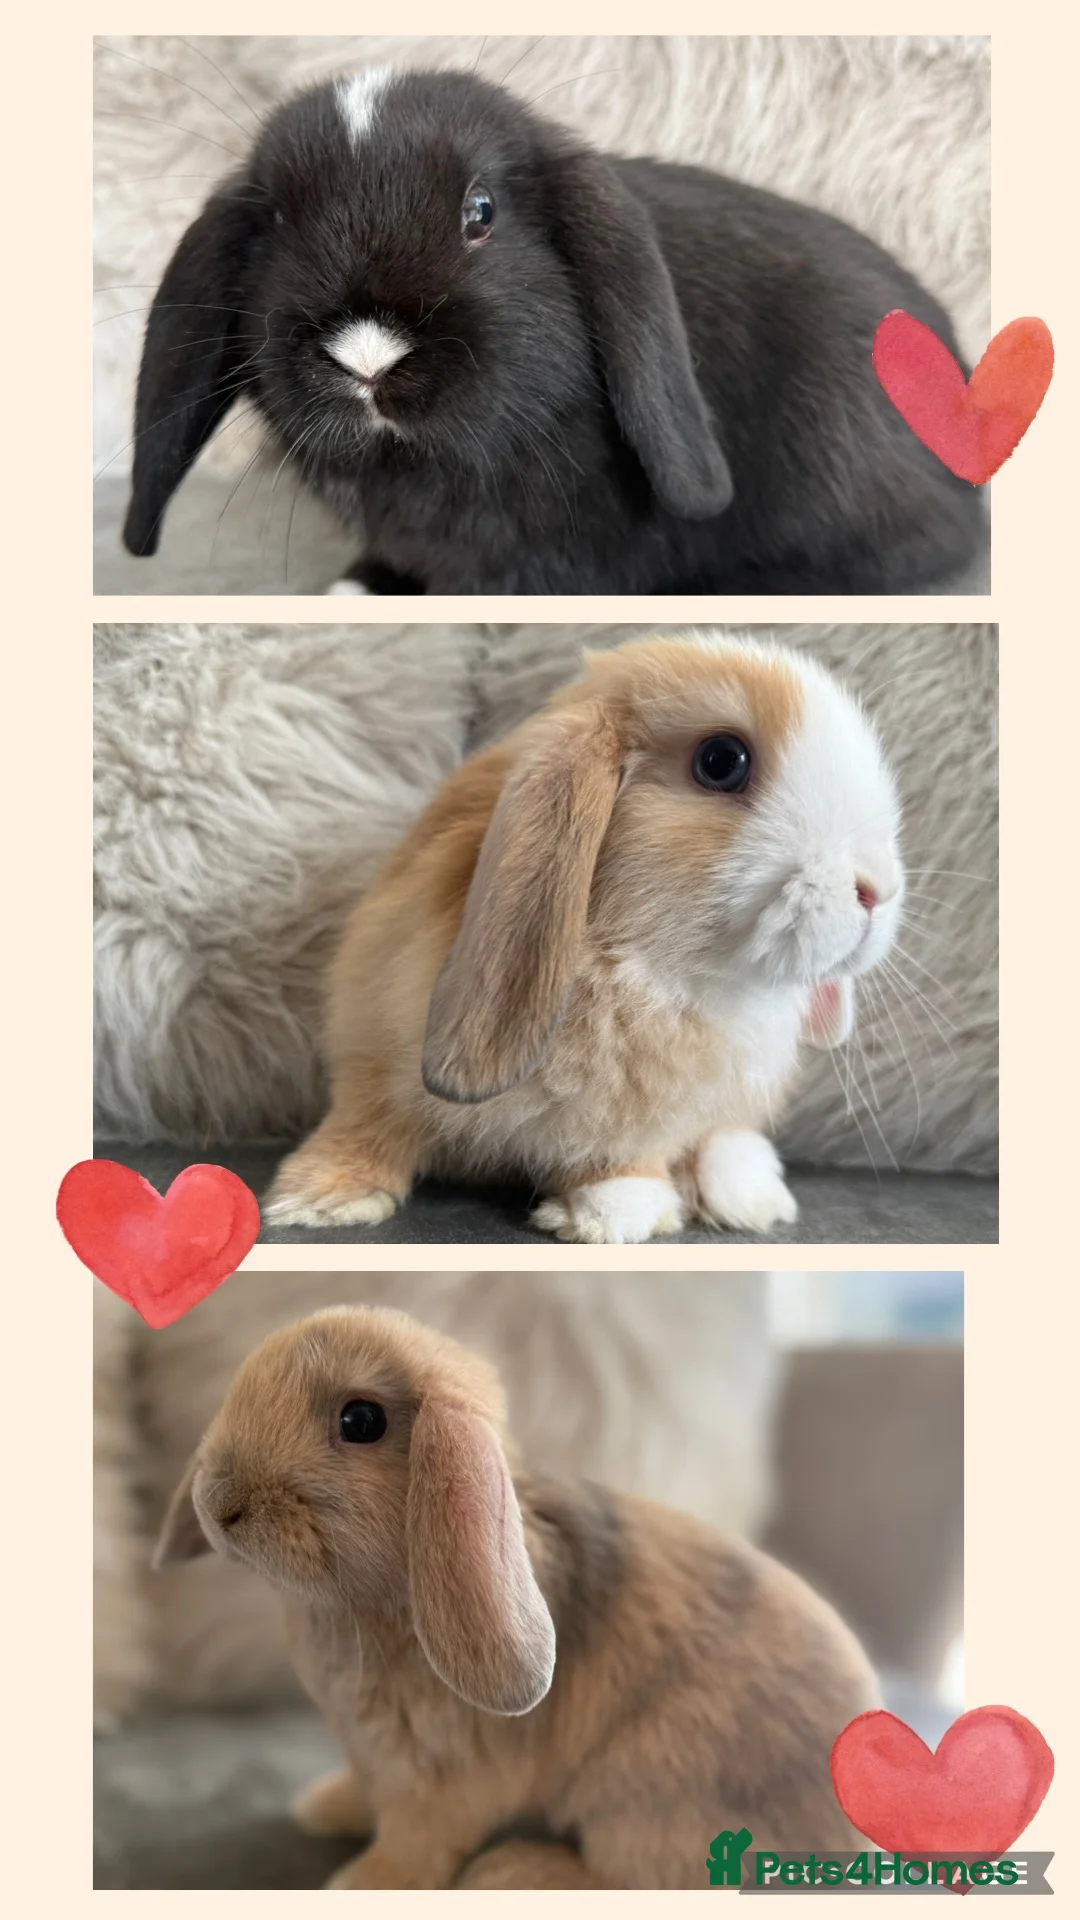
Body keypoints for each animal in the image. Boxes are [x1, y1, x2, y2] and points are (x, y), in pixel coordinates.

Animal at [154, 1305, 878, 1889]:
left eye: (360, 1420)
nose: (219, 1504)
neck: (372, 1604)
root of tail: (847, 1838)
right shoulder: (369, 1755)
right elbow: (364, 1789)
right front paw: (324, 1808)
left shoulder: (444, 1782)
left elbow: (416, 1842)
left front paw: (363, 1885)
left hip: (643, 1796)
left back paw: (513, 1871)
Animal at [263, 633, 904, 1244]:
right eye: (722, 761)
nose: (878, 889)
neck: (637, 968)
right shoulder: (374, 1040)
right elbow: (368, 1118)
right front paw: (320, 1200)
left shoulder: (651, 1109)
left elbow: (627, 1150)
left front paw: (611, 1213)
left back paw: (749, 1196)